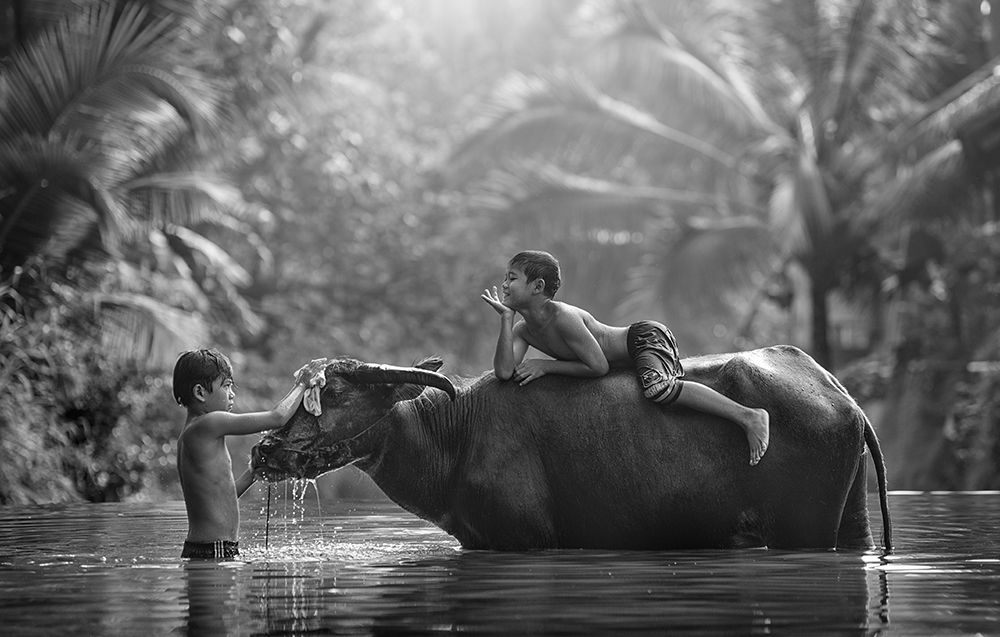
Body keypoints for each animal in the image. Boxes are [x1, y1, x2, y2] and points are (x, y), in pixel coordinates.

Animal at [252, 345, 892, 551]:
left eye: (333, 392)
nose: (263, 451)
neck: (455, 436)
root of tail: (844, 399)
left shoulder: (525, 541)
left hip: (804, 528)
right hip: (848, 523)